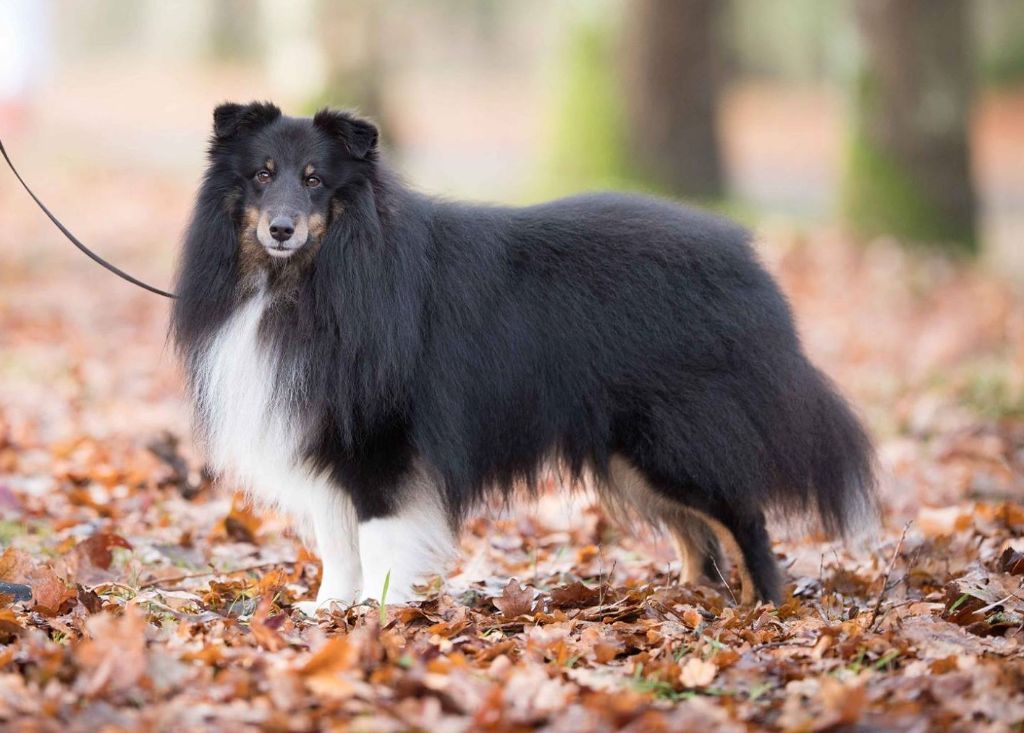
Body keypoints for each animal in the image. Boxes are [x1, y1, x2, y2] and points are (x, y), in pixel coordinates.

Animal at [172, 100, 876, 610]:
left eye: (315, 180)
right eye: (262, 174)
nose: (281, 229)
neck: (309, 278)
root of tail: (749, 263)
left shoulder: (379, 442)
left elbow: (376, 538)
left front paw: (377, 611)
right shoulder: (322, 433)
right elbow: (336, 541)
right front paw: (329, 610)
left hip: (674, 438)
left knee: (743, 518)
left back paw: (762, 608)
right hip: (631, 452)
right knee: (699, 537)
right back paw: (689, 600)